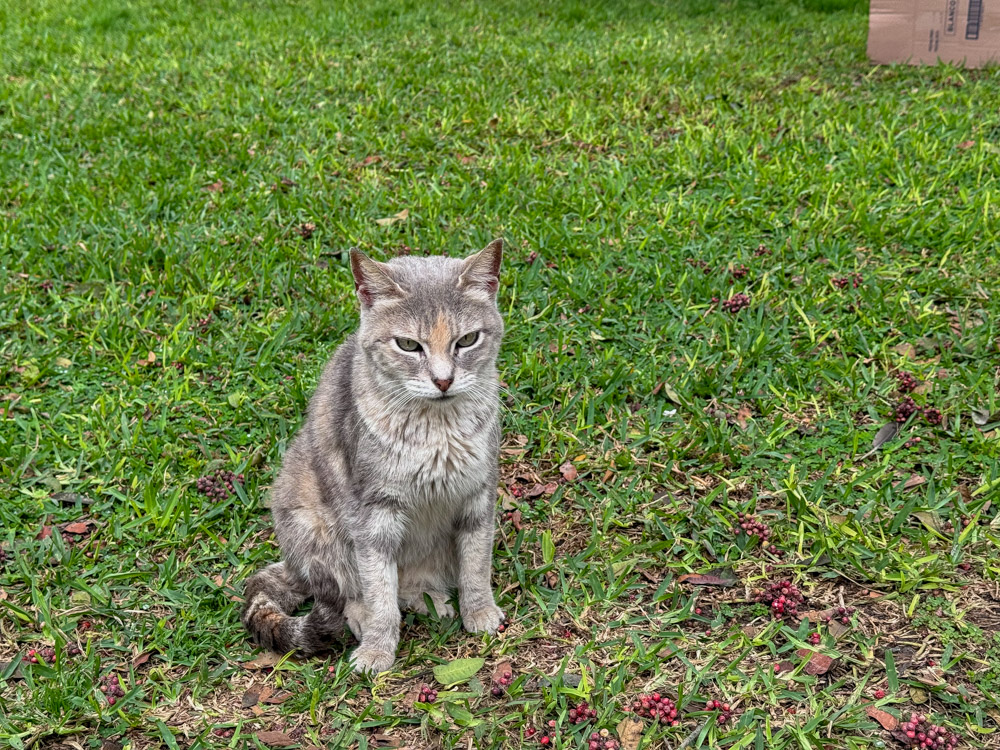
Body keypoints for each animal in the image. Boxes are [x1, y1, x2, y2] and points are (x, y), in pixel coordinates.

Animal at [242, 239, 508, 676]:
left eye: (467, 339)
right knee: (346, 592)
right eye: (408, 345)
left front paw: (479, 612)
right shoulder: (372, 513)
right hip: (314, 527)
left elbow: (475, 565)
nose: (443, 380)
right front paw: (378, 649)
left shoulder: (478, 493)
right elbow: (379, 588)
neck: (437, 431)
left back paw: (429, 600)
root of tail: (292, 564)